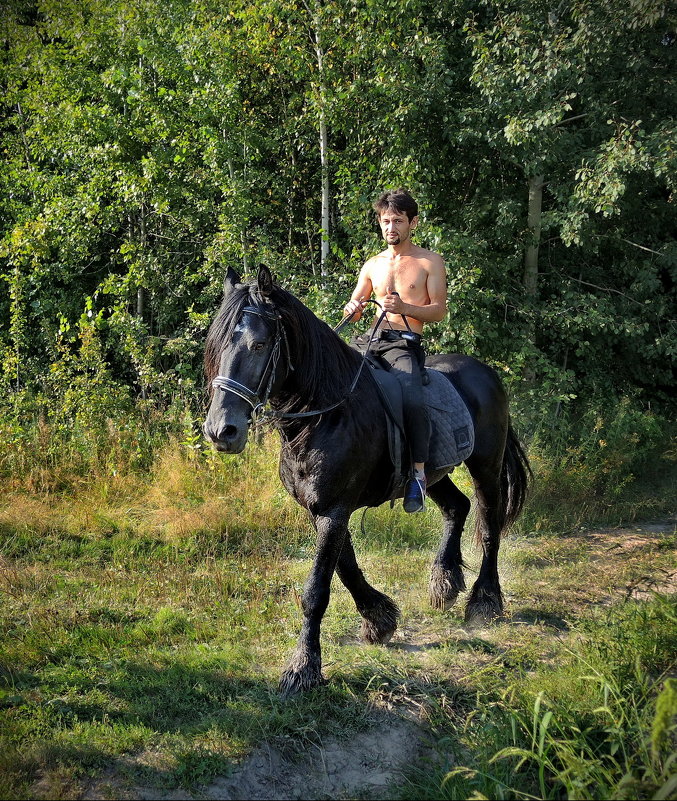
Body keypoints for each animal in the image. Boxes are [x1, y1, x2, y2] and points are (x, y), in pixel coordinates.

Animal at [203, 268, 532, 692]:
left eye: (259, 344)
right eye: (215, 346)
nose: (221, 431)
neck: (325, 414)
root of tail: (485, 372)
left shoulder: (335, 508)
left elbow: (317, 589)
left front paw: (303, 667)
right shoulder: (321, 509)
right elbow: (346, 568)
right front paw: (379, 618)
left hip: (486, 466)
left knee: (490, 525)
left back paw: (483, 601)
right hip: (431, 476)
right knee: (457, 507)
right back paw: (444, 580)